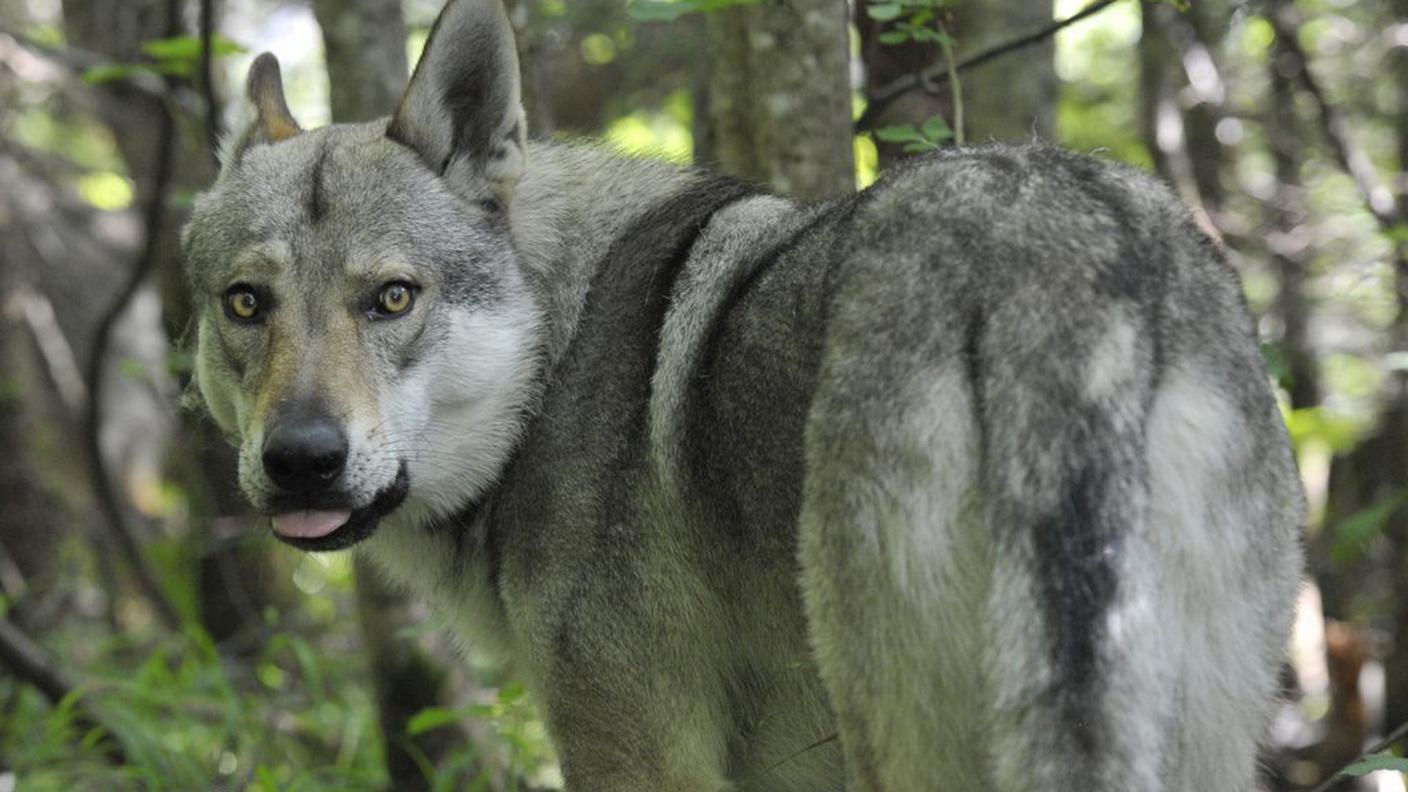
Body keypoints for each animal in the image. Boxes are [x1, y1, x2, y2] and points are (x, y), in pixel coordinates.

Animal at [181, 0, 1305, 788]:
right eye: (246, 303)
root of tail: (1054, 261)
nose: (301, 459)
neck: (552, 364)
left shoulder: (634, 758)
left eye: (392, 298)